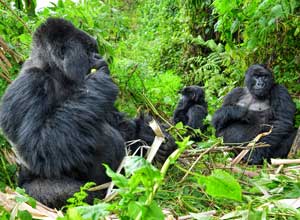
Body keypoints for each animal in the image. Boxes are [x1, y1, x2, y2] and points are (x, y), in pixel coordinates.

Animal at [0, 17, 176, 208]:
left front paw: (154, 137)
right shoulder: (30, 84)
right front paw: (97, 82)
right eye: (88, 51)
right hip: (24, 193)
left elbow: (120, 123)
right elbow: (38, 146)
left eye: (94, 50)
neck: (55, 71)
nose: (100, 57)